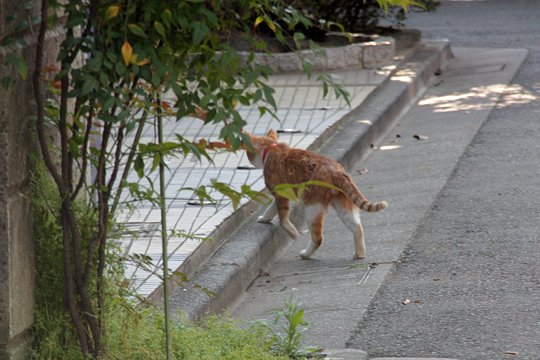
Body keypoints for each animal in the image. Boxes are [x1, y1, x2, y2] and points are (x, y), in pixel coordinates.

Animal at [245, 129, 388, 258]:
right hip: (341, 204)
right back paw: (360, 254)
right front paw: (265, 218)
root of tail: (336, 170)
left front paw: (292, 233)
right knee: (357, 227)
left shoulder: (281, 193)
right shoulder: (283, 194)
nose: (249, 162)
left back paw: (306, 254)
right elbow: (272, 208)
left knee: (318, 238)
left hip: (312, 207)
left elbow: (283, 218)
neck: (272, 148)